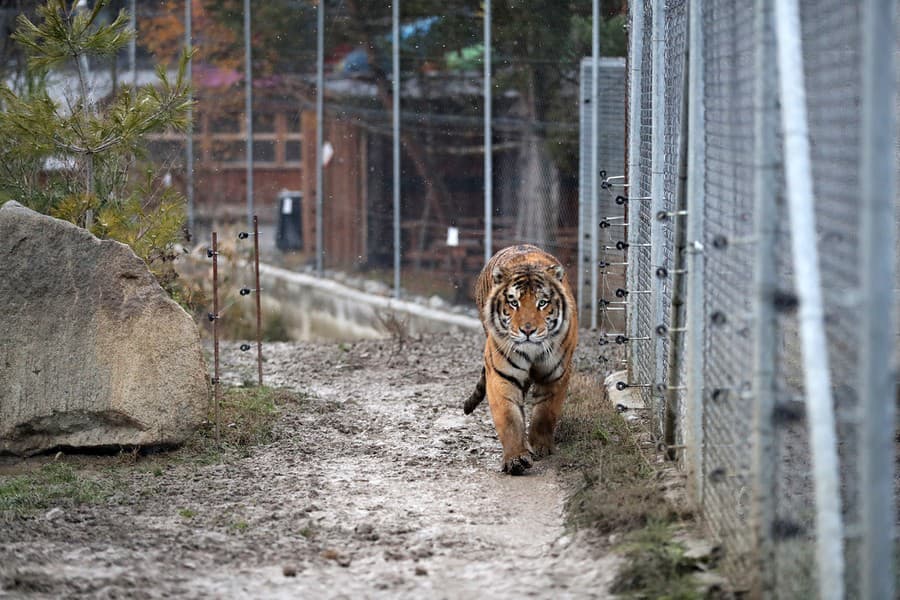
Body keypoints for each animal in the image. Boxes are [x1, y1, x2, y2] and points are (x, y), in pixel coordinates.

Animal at [464, 243, 576, 474]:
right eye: (513, 302)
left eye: (542, 303)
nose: (527, 330)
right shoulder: (502, 376)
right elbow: (509, 418)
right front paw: (516, 458)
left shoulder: (555, 375)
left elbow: (545, 413)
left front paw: (541, 447)